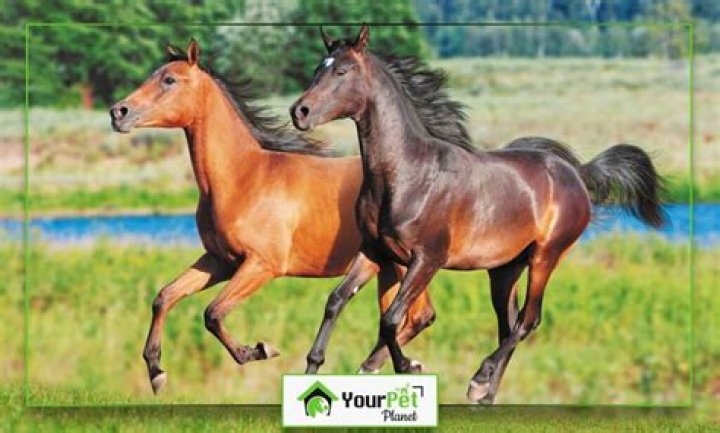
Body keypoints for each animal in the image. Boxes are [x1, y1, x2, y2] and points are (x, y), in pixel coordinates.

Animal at [108, 39, 437, 394]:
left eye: (169, 79)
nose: (118, 112)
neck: (243, 178)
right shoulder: (219, 261)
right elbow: (165, 297)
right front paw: (156, 372)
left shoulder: (261, 265)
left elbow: (213, 313)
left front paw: (259, 350)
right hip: (386, 266)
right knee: (406, 317)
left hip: (406, 265)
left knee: (418, 315)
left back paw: (390, 367)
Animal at [290, 25, 665, 403]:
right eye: (317, 69)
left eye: (342, 71)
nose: (300, 112)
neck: (407, 173)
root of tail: (577, 173)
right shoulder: (375, 251)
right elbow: (336, 300)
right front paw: (313, 367)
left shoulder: (427, 259)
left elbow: (392, 318)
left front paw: (407, 366)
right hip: (504, 270)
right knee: (508, 325)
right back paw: (485, 395)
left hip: (546, 256)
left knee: (528, 321)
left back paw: (480, 379)